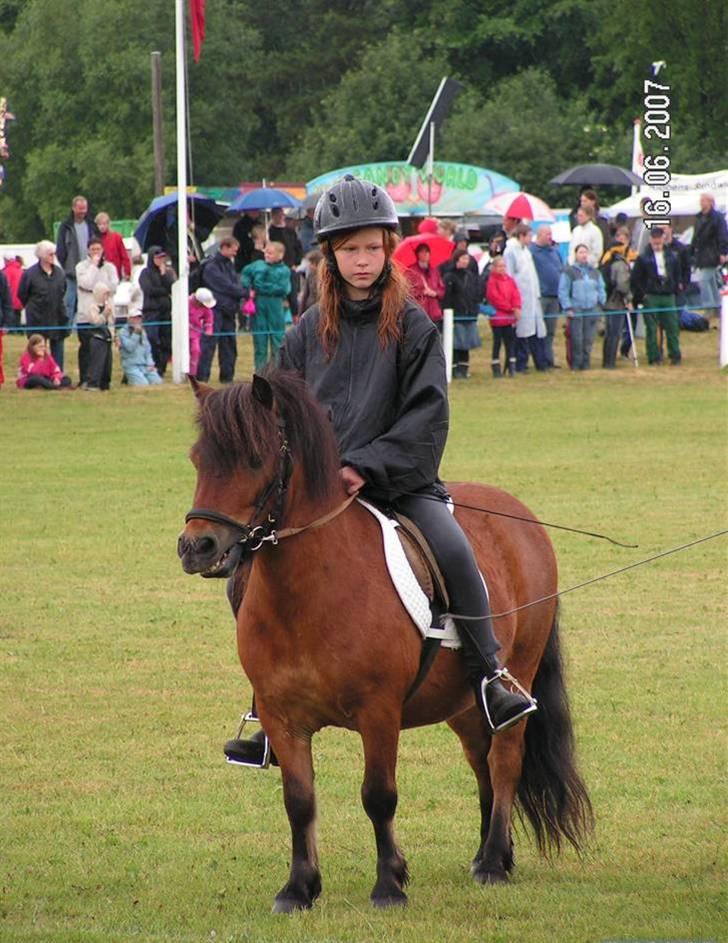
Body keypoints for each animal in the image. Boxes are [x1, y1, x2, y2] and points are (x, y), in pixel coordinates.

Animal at [176, 368, 592, 916]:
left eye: (253, 458)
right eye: (198, 458)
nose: (196, 547)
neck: (307, 594)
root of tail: (520, 515)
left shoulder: (378, 712)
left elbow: (378, 795)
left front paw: (389, 884)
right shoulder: (282, 717)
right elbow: (298, 801)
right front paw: (299, 888)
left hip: (517, 669)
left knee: (504, 761)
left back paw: (492, 862)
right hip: (463, 703)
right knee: (481, 763)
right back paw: (492, 854)